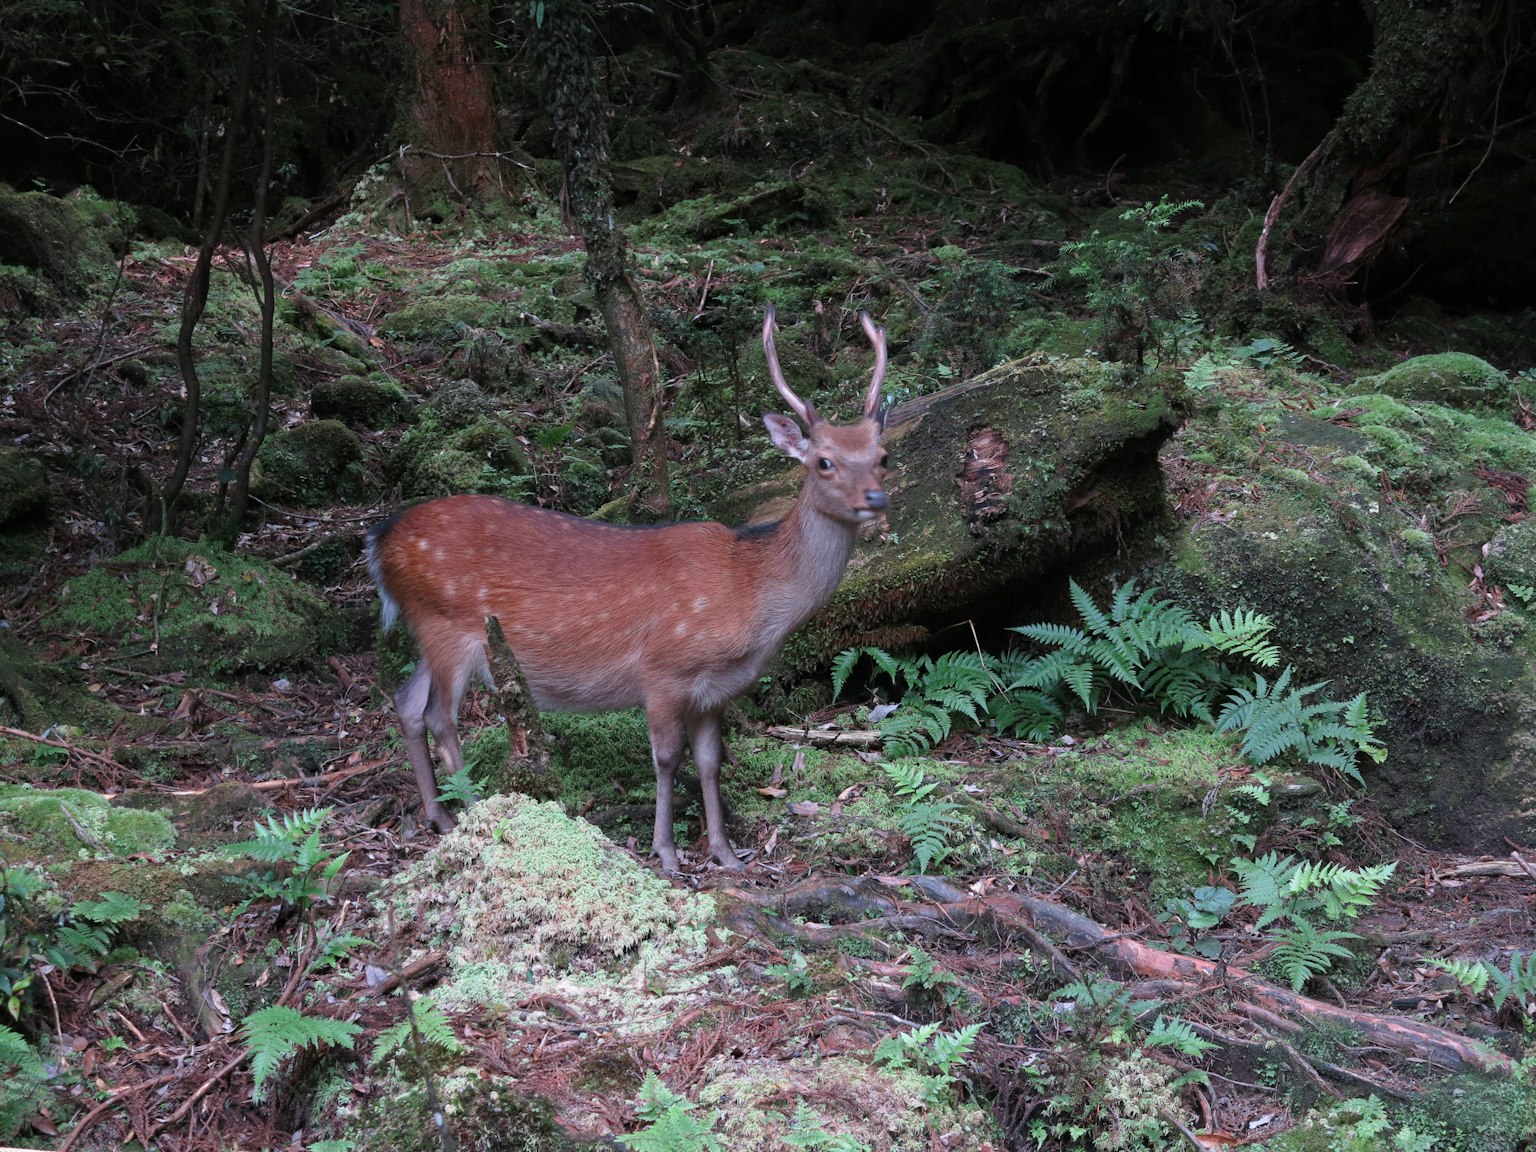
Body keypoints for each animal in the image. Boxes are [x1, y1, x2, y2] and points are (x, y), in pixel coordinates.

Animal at [365, 305, 889, 870]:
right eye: (824, 461)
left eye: (882, 456)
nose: (876, 497)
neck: (748, 591)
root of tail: (378, 541)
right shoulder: (663, 669)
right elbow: (666, 758)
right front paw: (667, 852)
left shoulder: (715, 689)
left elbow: (709, 761)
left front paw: (725, 852)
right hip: (449, 627)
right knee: (440, 717)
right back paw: (471, 812)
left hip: (427, 625)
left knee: (406, 703)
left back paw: (437, 816)